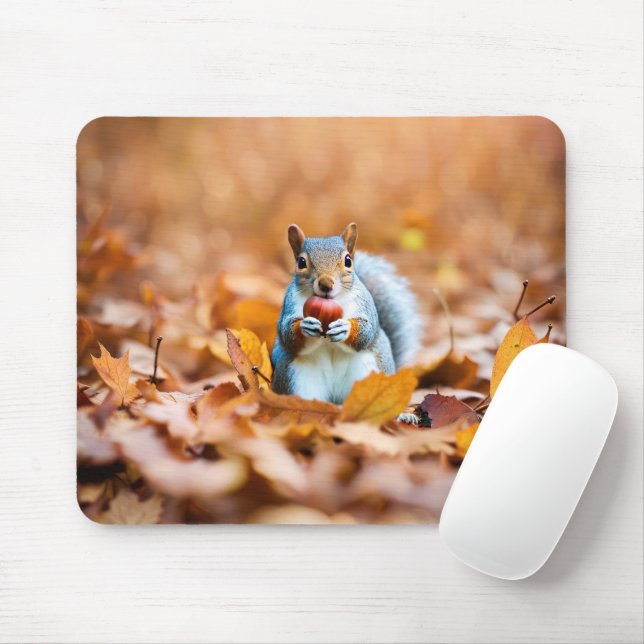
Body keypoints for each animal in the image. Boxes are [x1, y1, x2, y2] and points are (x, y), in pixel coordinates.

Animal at [271, 222, 421, 414]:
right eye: (301, 262)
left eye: (348, 260)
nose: (326, 284)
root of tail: (336, 399)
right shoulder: (288, 307)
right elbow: (287, 334)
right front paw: (306, 326)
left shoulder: (366, 305)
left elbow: (367, 330)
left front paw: (345, 329)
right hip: (297, 379)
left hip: (369, 372)